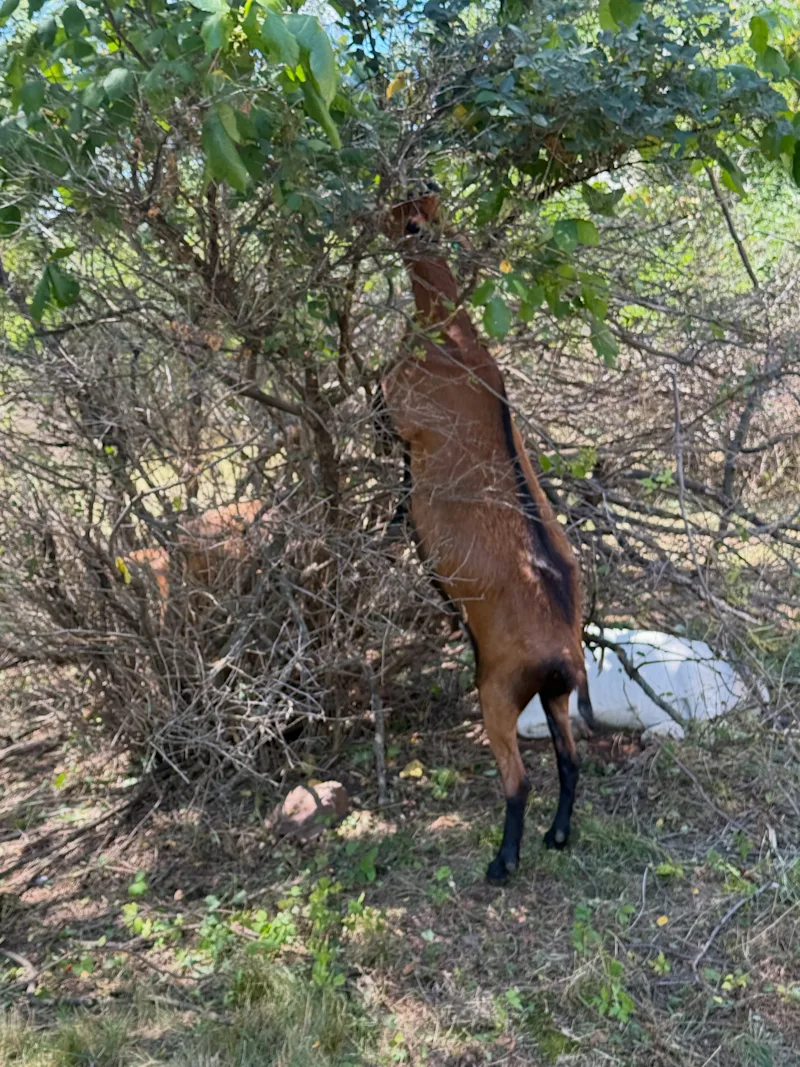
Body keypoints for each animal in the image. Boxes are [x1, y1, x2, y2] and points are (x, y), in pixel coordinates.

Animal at [380, 184, 594, 883]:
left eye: (408, 216)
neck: (454, 339)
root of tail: (562, 653)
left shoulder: (398, 412)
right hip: (554, 698)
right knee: (570, 760)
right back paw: (557, 837)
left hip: (497, 690)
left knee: (519, 780)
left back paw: (503, 863)